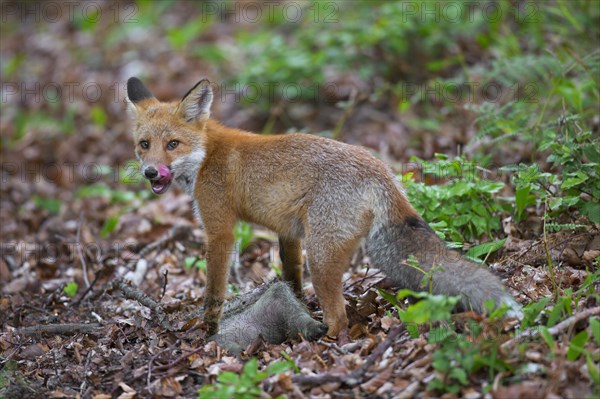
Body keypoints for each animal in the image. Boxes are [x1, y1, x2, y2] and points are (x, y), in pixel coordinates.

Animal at [123, 76, 520, 338]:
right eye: (144, 145)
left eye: (172, 144)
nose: (150, 172)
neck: (206, 155)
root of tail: (381, 171)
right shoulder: (288, 232)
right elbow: (292, 280)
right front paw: (295, 307)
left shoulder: (219, 230)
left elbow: (214, 292)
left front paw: (209, 331)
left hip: (322, 255)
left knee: (341, 320)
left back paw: (325, 341)